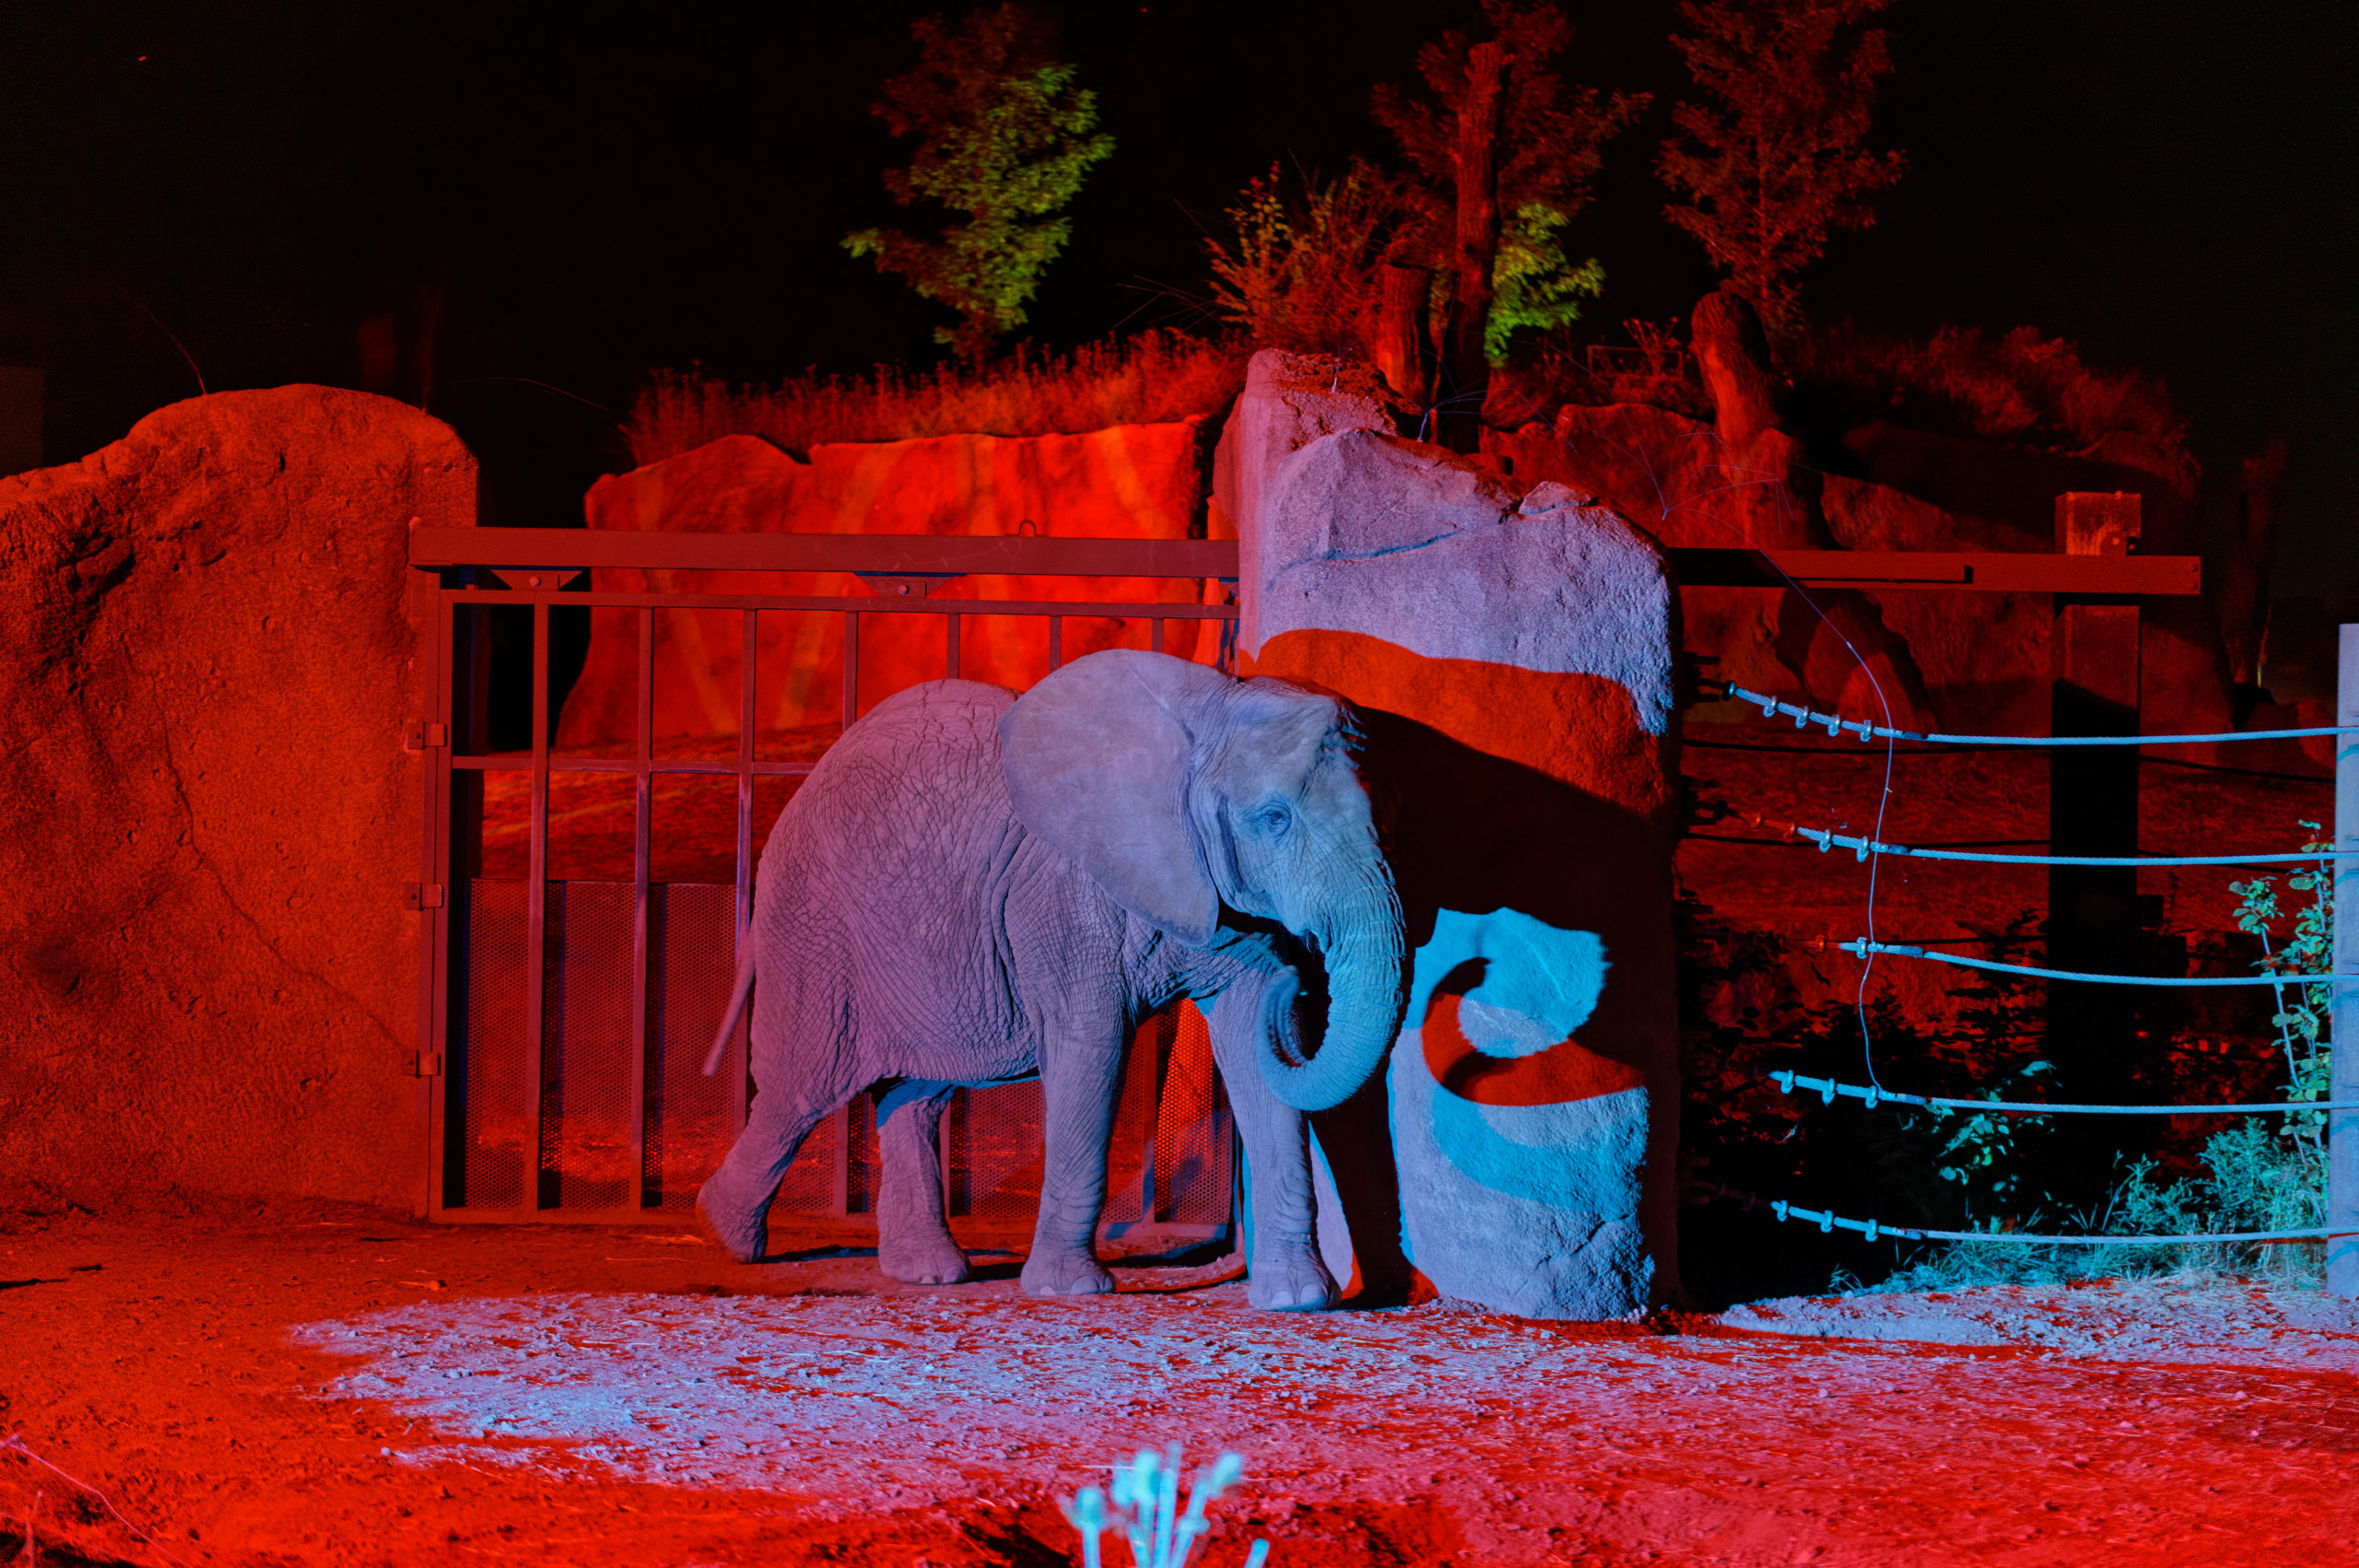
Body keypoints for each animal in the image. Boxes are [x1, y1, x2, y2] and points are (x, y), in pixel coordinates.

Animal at [688, 646, 1405, 1311]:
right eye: (1274, 819)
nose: (1303, 977)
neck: (1203, 720)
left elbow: (1253, 1043)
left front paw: (1299, 1300)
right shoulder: (1063, 895)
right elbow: (1092, 1047)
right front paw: (1072, 1290)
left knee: (916, 1092)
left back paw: (928, 1272)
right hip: (815, 922)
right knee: (804, 1086)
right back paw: (726, 1236)